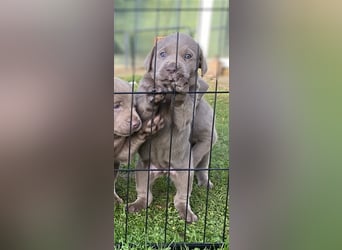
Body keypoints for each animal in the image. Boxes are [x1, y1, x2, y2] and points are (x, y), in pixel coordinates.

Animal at [127, 33, 218, 223]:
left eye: (188, 56)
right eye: (162, 54)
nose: (172, 69)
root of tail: (164, 169)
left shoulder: (189, 107)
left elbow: (182, 111)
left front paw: (180, 89)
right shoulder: (141, 100)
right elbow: (144, 109)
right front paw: (153, 96)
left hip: (184, 174)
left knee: (181, 197)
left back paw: (187, 213)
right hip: (143, 170)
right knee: (145, 194)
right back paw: (136, 205)